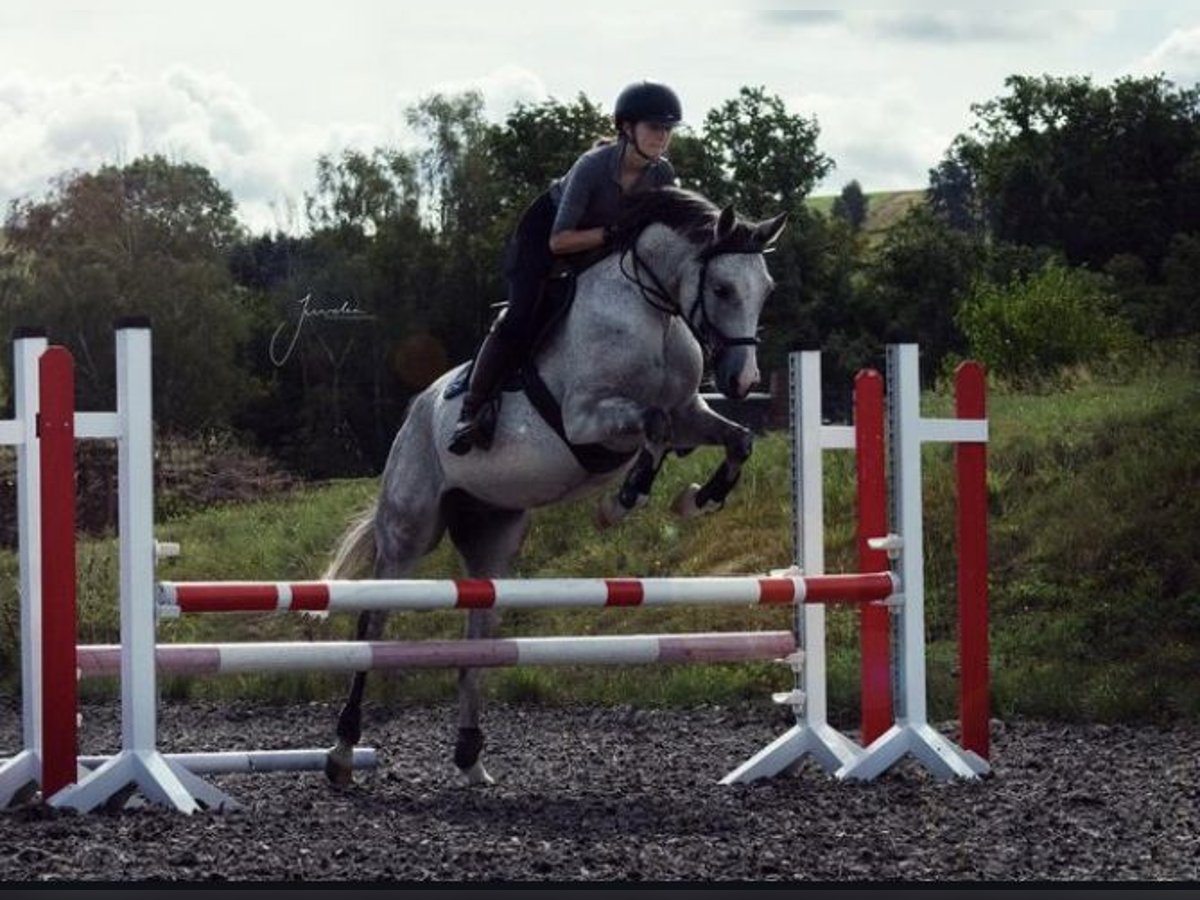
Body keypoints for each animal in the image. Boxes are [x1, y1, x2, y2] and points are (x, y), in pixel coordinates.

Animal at [321, 187, 787, 787]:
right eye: (724, 288)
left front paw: (697, 499)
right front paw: (621, 501)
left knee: (478, 632)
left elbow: (735, 439)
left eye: (765, 289)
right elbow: (654, 427)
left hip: (494, 534)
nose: (742, 381)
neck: (654, 315)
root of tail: (414, 412)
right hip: (409, 531)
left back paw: (470, 756)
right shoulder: (587, 419)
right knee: (372, 624)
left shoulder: (691, 414)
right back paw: (342, 752)